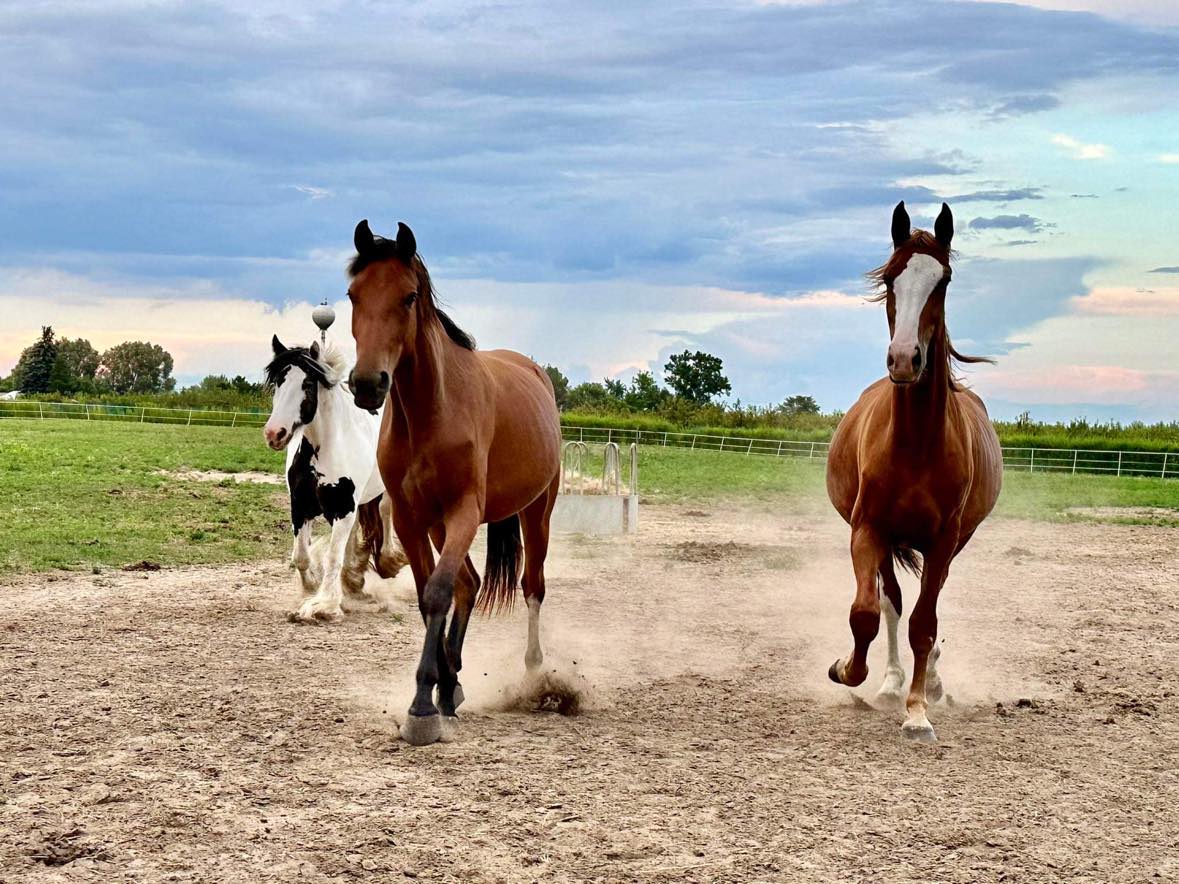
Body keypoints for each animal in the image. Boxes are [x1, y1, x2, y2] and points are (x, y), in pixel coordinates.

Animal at [263, 336, 407, 622]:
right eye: (278, 383)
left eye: (307, 384)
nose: (275, 433)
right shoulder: (301, 506)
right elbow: (301, 556)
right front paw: (311, 589)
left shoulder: (343, 507)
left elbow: (332, 555)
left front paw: (324, 605)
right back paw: (352, 580)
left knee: (386, 511)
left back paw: (388, 562)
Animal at [346, 219, 562, 746]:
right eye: (353, 295)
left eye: (407, 297)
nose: (368, 384)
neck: (433, 411)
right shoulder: (411, 519)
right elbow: (430, 598)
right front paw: (441, 689)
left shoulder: (465, 510)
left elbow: (439, 593)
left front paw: (422, 707)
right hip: (442, 526)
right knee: (471, 581)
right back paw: (454, 683)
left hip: (536, 513)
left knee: (532, 586)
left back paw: (533, 672)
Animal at [825, 201, 1003, 742]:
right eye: (890, 280)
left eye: (942, 281)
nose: (905, 359)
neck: (917, 445)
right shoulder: (867, 530)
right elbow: (867, 613)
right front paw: (850, 670)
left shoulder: (944, 541)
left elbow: (926, 624)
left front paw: (918, 711)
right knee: (892, 603)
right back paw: (888, 682)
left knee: (928, 606)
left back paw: (932, 682)